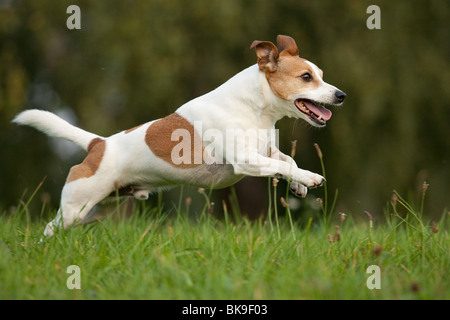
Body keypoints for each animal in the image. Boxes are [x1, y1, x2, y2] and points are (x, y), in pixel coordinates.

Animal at [13, 35, 344, 236]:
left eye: (321, 75)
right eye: (306, 77)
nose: (341, 95)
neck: (255, 108)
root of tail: (99, 144)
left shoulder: (266, 152)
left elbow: (287, 160)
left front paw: (299, 183)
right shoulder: (246, 160)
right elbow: (283, 165)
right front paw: (311, 178)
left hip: (98, 209)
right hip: (76, 207)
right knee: (50, 229)